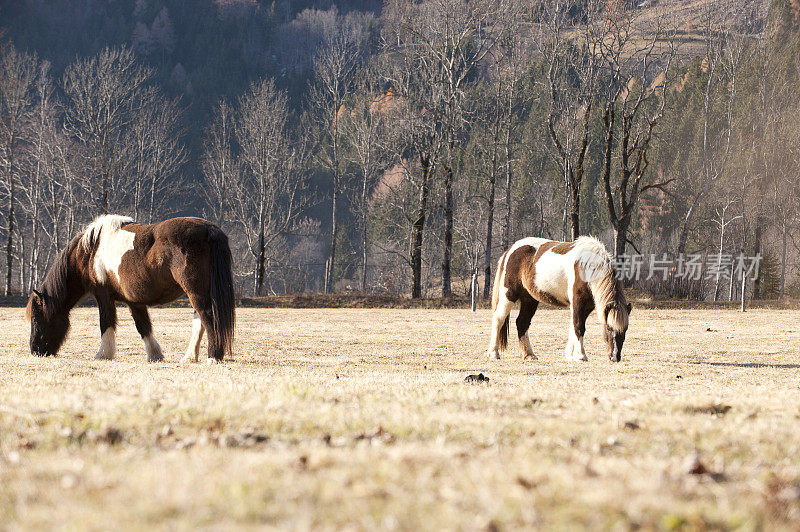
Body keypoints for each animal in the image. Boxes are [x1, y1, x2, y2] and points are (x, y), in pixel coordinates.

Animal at [25, 215, 236, 362]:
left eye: (36, 318)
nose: (35, 351)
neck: (89, 251)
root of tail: (209, 229)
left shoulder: (103, 296)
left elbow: (106, 323)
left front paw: (103, 354)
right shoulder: (134, 301)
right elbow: (143, 326)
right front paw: (155, 355)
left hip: (196, 292)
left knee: (208, 318)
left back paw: (213, 357)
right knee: (199, 322)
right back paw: (190, 357)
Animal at [488, 236, 632, 362]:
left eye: (625, 330)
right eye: (609, 328)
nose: (615, 357)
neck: (587, 266)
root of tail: (510, 250)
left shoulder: (586, 306)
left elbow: (574, 327)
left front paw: (570, 355)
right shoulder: (578, 302)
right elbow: (578, 326)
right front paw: (581, 356)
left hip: (529, 299)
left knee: (522, 323)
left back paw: (529, 355)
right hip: (509, 294)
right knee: (499, 319)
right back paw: (494, 353)